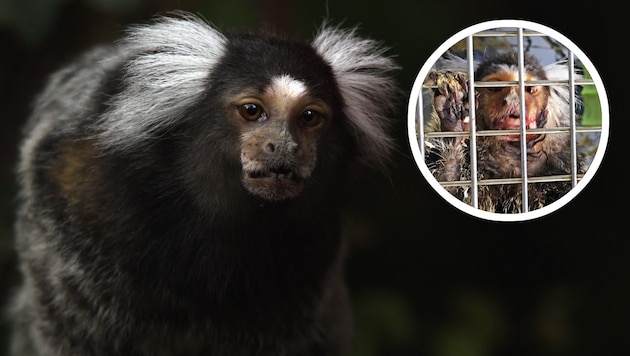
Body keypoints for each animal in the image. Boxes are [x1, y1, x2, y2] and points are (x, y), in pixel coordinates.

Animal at [428, 51, 584, 213]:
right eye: (496, 88)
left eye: (529, 89)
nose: (513, 100)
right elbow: (450, 186)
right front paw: (455, 115)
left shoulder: (561, 162)